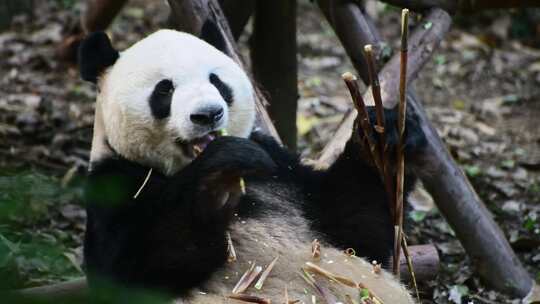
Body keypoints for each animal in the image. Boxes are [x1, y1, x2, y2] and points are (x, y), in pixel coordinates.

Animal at [80, 19, 426, 304]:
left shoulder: (282, 169)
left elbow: (358, 233)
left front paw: (383, 139)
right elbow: (131, 271)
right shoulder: (115, 181)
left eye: (217, 81)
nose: (208, 114)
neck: (179, 168)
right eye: (164, 90)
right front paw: (219, 176)